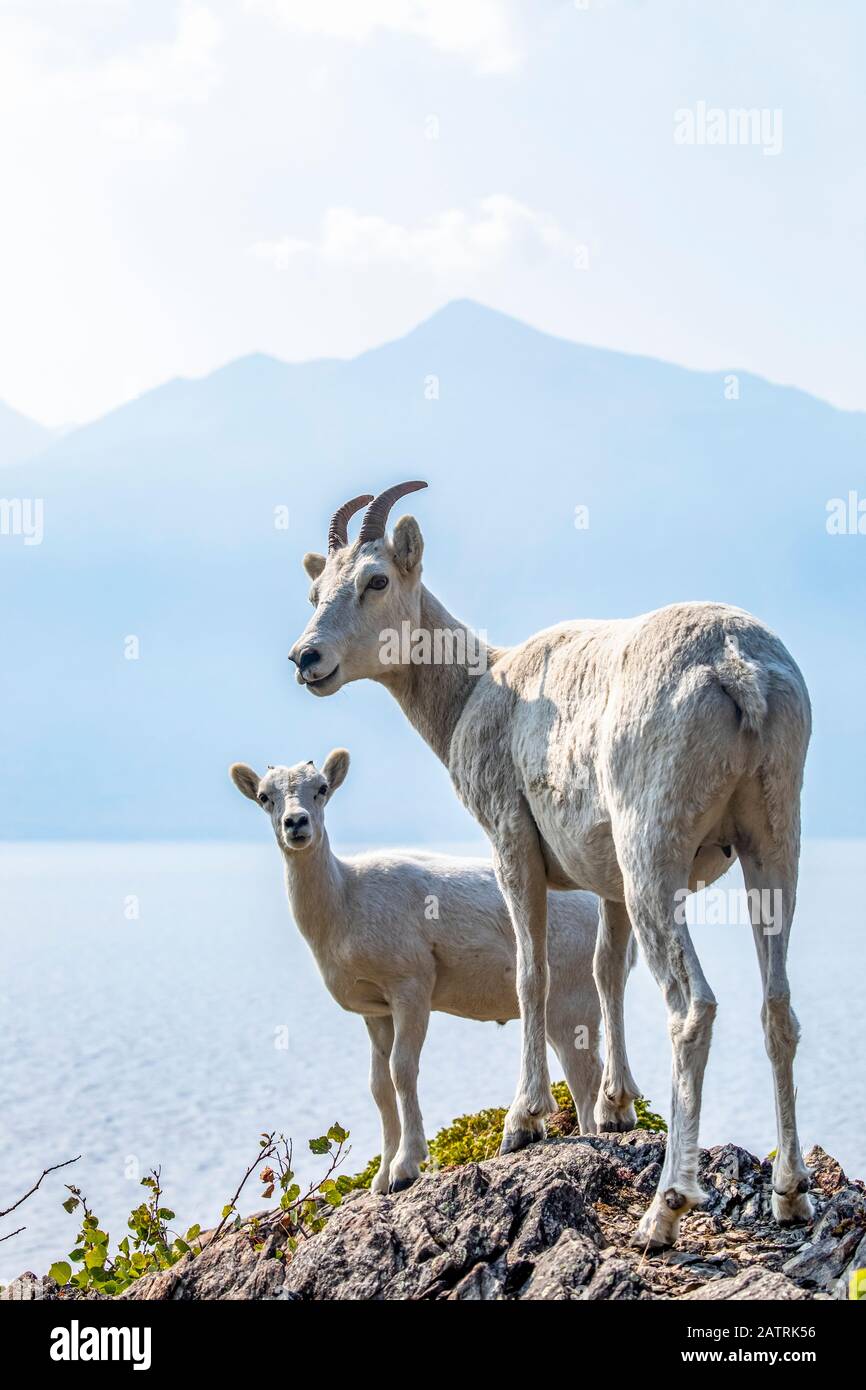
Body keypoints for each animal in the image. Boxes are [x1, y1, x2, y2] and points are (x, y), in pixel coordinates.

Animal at [229, 750, 610, 1193]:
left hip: (574, 1003)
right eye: (264, 796)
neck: (345, 901)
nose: (296, 823)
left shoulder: (410, 988)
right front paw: (380, 1179)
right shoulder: (375, 1010)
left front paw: (405, 1168)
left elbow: (402, 1071)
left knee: (587, 1077)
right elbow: (379, 1086)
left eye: (321, 788)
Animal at [288, 483, 813, 1249]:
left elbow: (531, 972)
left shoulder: (513, 844)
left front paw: (523, 1121)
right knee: (778, 1008)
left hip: (654, 853)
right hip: (772, 843)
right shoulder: (608, 884)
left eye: (375, 579)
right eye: (315, 589)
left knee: (693, 1007)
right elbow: (603, 974)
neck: (476, 691)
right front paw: (616, 1110)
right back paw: (790, 1195)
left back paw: (664, 1211)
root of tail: (735, 667)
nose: (307, 659)